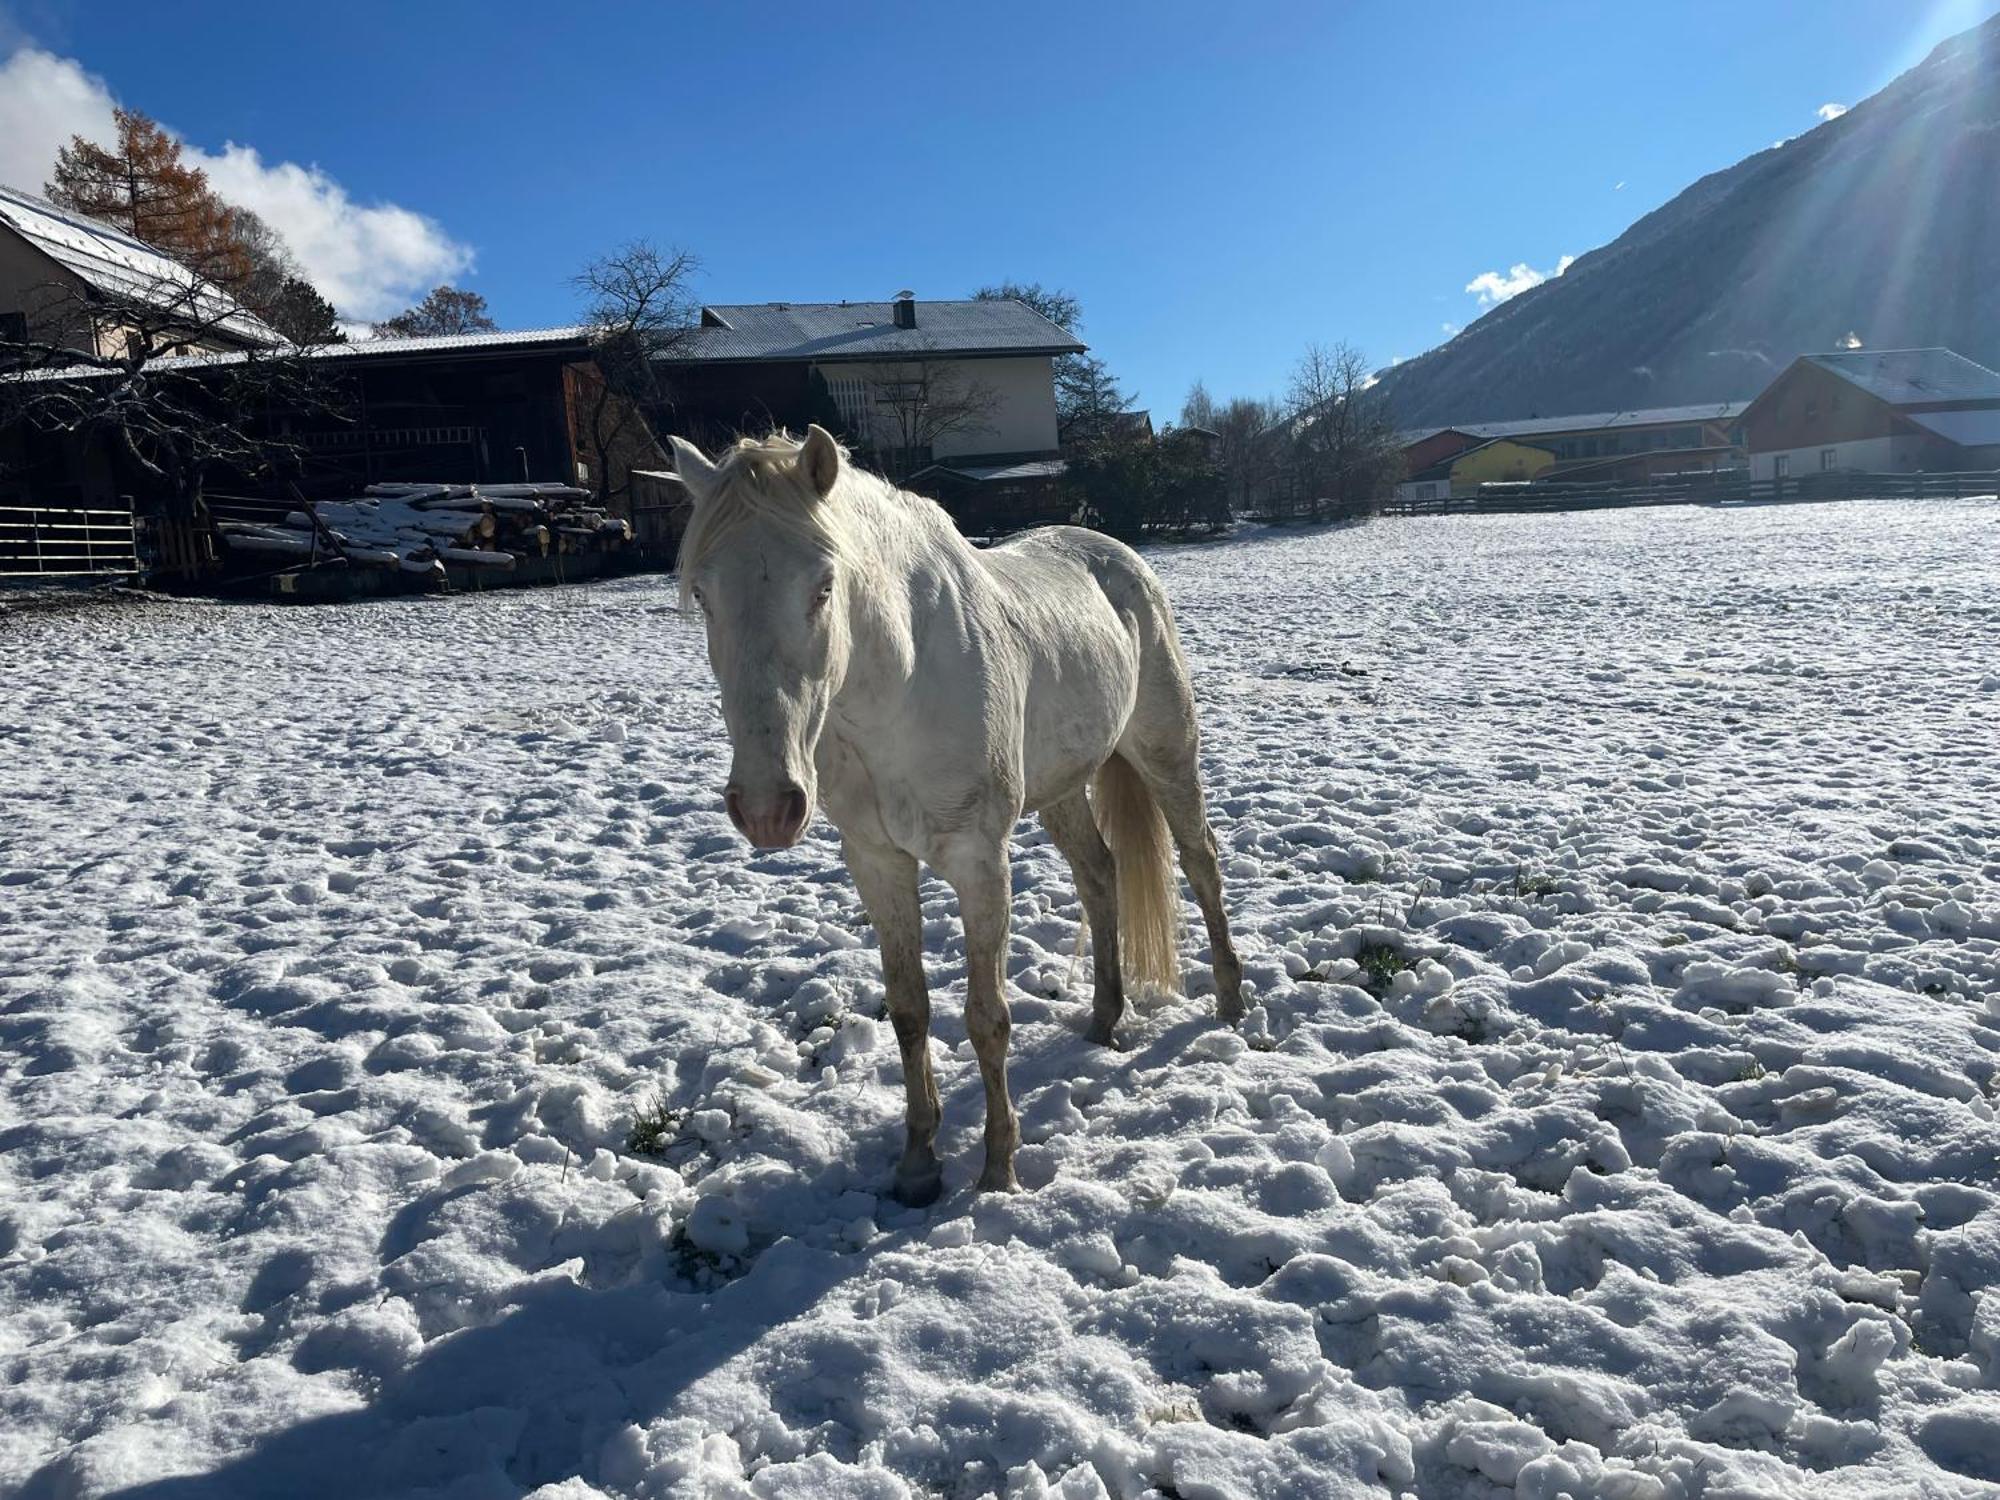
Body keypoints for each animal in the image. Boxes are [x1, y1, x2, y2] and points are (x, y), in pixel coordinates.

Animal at [668, 428, 1232, 1208]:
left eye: (823, 586)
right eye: (703, 592)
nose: (765, 808)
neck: (899, 686)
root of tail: (1119, 557)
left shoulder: (978, 860)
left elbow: (985, 1017)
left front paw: (998, 1170)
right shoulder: (876, 862)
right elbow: (910, 1010)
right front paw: (917, 1165)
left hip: (1165, 752)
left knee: (1201, 860)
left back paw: (1233, 1005)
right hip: (1062, 788)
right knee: (1100, 874)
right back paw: (1104, 1017)